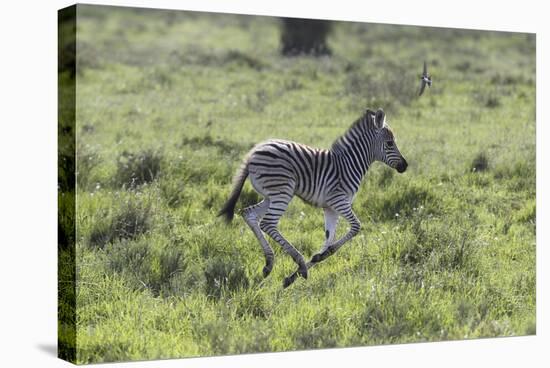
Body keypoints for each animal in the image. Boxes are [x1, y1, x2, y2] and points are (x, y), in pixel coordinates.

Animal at [220, 108, 410, 286]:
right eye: (390, 143)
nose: (405, 166)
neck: (350, 164)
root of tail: (254, 153)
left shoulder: (330, 208)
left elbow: (328, 241)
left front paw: (300, 271)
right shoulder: (339, 201)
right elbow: (356, 227)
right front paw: (305, 266)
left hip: (270, 195)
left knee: (249, 214)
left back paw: (269, 264)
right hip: (283, 191)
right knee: (267, 223)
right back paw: (298, 261)